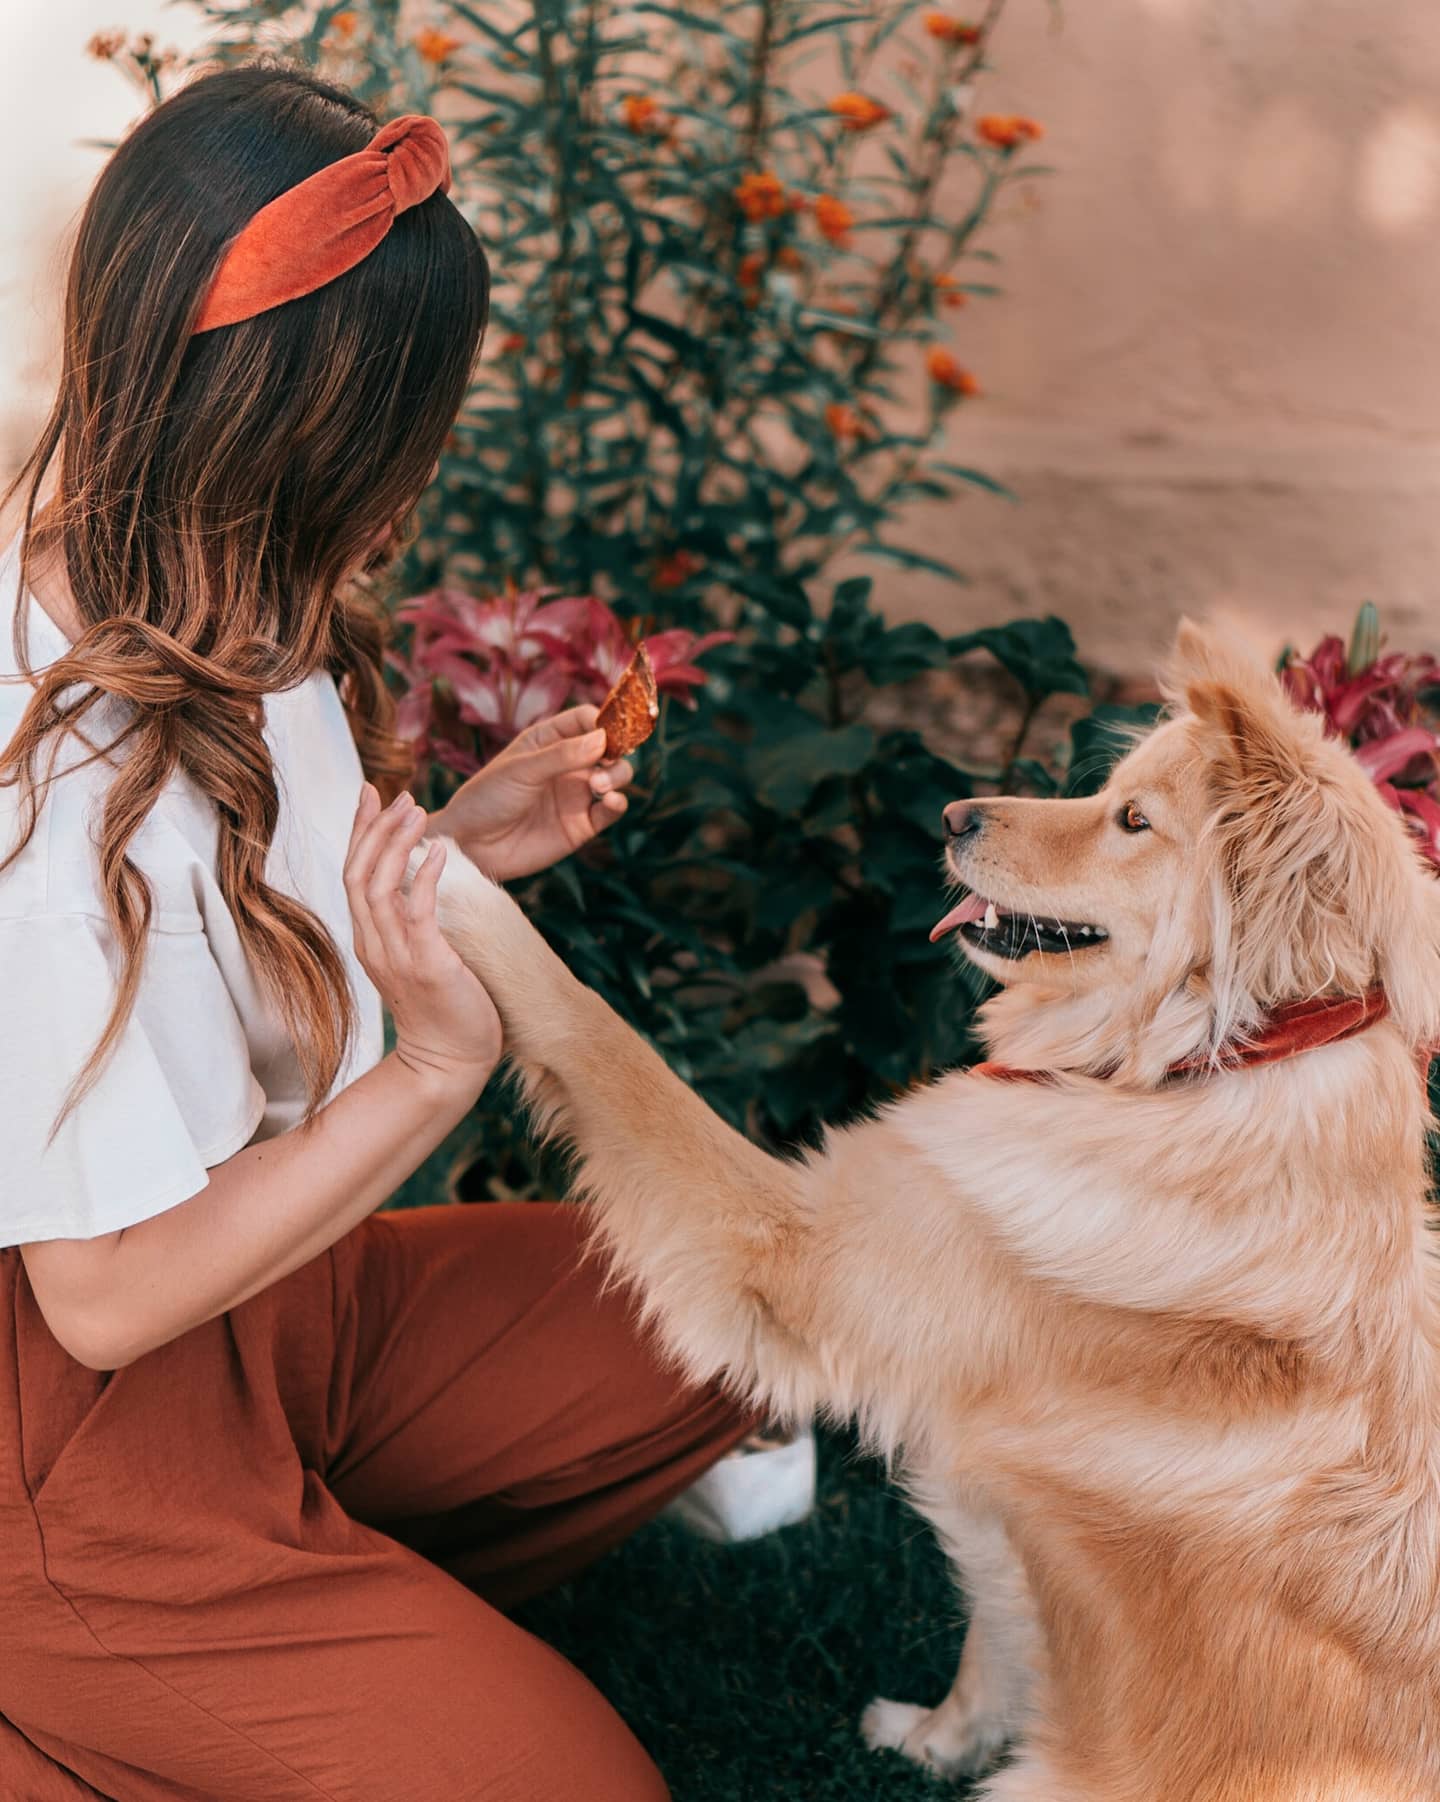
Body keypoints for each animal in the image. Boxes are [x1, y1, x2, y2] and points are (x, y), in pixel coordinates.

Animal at [428, 623, 1440, 1802]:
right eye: (1108, 794)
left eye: (1133, 821)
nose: (953, 817)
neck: (1199, 1065)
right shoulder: (997, 1504)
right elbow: (998, 1636)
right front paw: (939, 1738)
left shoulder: (797, 1256)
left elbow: (603, 1035)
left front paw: (448, 866)